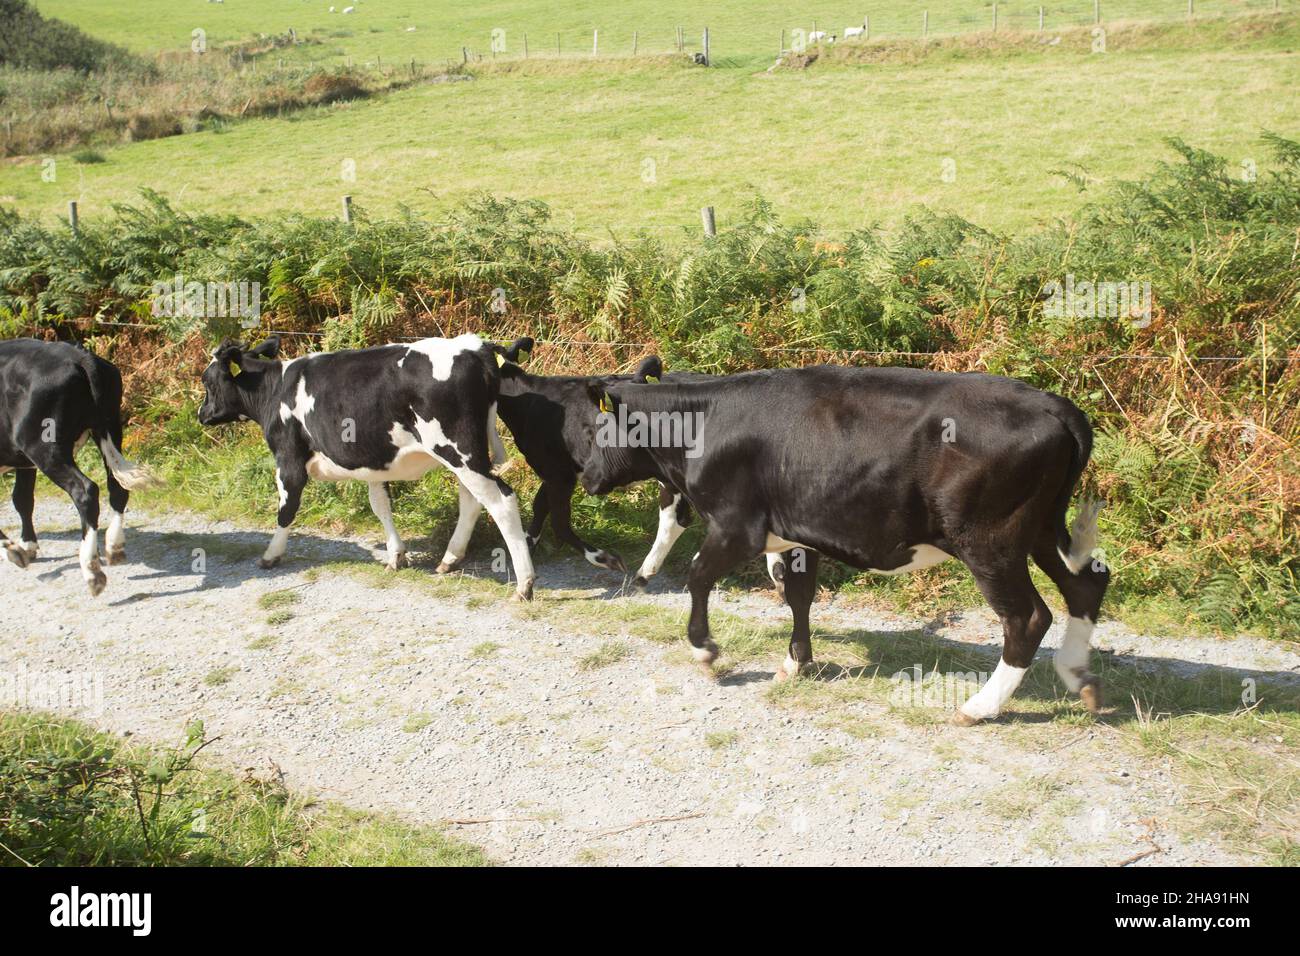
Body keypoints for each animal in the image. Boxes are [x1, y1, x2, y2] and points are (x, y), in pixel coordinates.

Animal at [0, 335, 156, 590]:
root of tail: (77, 355)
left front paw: (13, 550)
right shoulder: (22, 461)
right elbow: (22, 499)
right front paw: (27, 546)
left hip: (43, 446)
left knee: (86, 491)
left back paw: (91, 569)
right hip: (109, 427)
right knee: (117, 487)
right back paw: (114, 546)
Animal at [193, 335, 538, 598]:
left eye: (207, 380)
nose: (201, 414)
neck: (274, 391)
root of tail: (475, 346)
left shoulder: (288, 458)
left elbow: (286, 509)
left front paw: (271, 555)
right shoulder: (373, 460)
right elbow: (380, 505)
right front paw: (395, 555)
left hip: (458, 450)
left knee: (501, 501)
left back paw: (524, 584)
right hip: (465, 455)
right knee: (472, 501)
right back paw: (450, 559)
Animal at [579, 366, 1107, 723]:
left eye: (595, 429)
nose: (584, 477)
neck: (706, 417)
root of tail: (1051, 403)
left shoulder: (735, 526)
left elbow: (698, 575)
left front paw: (705, 650)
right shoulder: (796, 532)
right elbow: (799, 595)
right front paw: (795, 662)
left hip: (988, 540)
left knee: (1027, 617)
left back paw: (979, 706)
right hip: (1042, 531)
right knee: (1087, 584)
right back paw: (1077, 676)